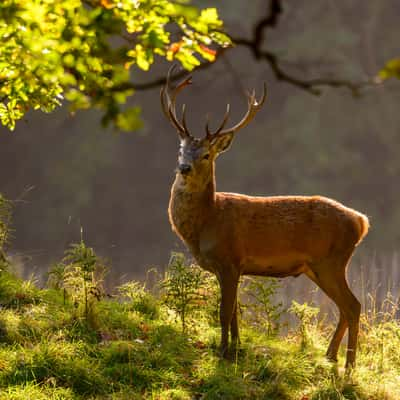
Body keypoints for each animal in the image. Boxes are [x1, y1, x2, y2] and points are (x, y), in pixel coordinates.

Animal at [159, 66, 368, 368]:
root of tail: (361, 221)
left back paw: (348, 365)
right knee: (344, 306)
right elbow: (235, 312)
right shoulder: (230, 268)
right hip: (317, 267)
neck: (207, 223)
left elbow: (224, 311)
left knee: (353, 305)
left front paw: (223, 351)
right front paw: (236, 348)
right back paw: (330, 357)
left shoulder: (230, 260)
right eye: (181, 150)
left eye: (207, 155)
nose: (184, 167)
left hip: (332, 260)